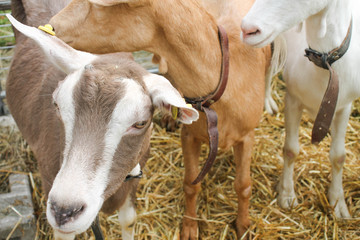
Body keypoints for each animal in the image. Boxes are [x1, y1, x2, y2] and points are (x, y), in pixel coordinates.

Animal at [49, 0, 272, 238]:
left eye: (98, 6)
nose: (52, 26)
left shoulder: (247, 135)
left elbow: (243, 185)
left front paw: (243, 226)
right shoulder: (189, 135)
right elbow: (191, 184)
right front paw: (190, 228)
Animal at [240, 0, 358, 218]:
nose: (247, 29)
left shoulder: (344, 106)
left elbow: (339, 156)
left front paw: (338, 204)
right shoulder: (293, 99)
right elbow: (291, 149)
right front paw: (287, 196)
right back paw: (266, 100)